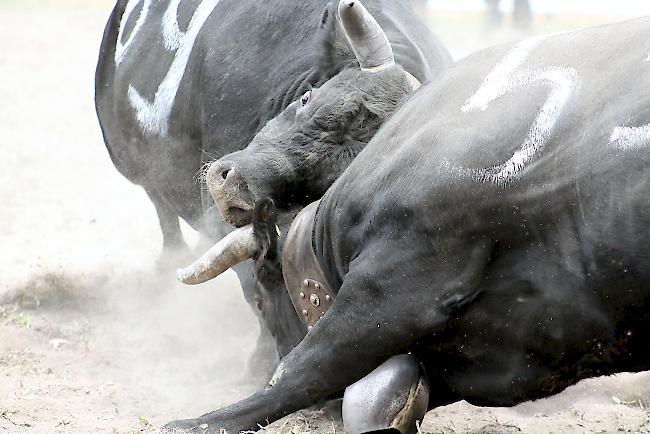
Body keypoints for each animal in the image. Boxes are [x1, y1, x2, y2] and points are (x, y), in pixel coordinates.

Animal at [168, 17, 648, 434]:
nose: (229, 180)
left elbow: (301, 371)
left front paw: (196, 423)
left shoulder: (394, 282)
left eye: (262, 300)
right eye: (305, 100)